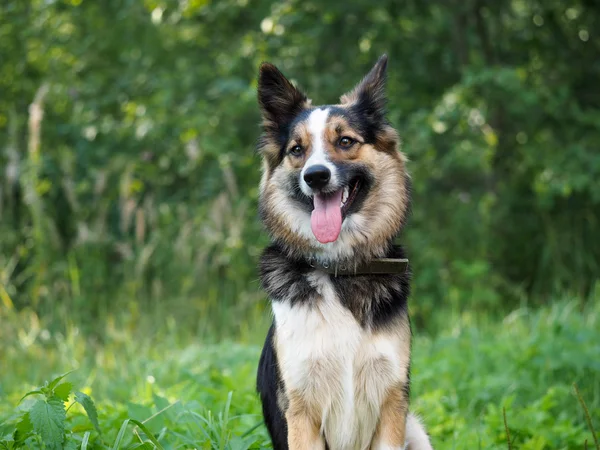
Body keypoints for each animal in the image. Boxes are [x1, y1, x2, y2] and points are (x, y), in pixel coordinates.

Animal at [255, 53, 434, 450]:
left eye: (346, 141)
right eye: (297, 150)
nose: (315, 176)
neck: (339, 268)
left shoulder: (391, 402)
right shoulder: (301, 408)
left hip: (417, 431)